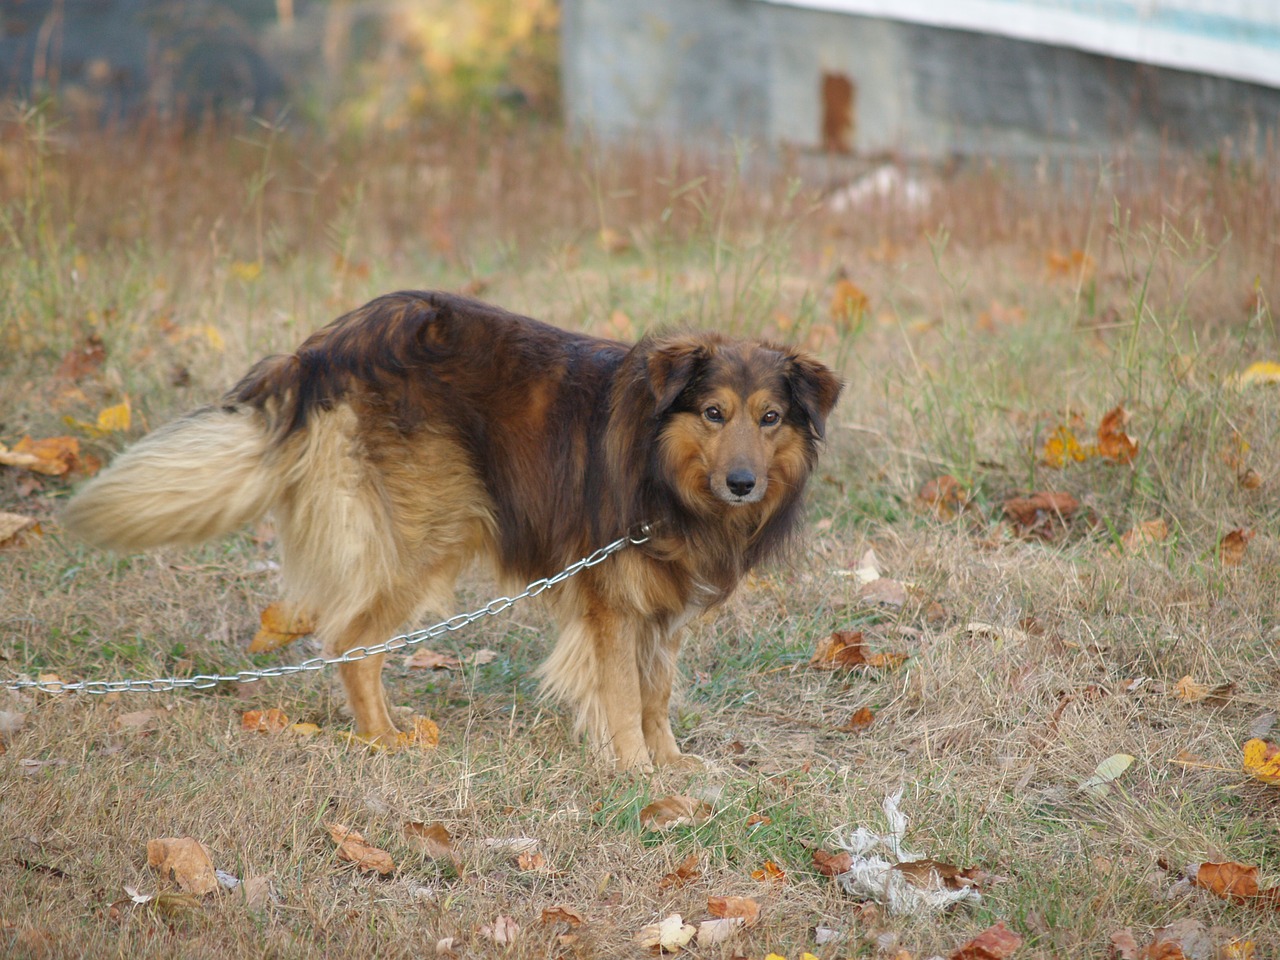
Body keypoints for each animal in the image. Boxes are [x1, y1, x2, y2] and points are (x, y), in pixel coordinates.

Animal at [62, 289, 839, 773]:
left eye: (770, 418)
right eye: (713, 413)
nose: (743, 483)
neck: (664, 469)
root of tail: (321, 350)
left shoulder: (663, 611)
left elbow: (657, 693)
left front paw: (671, 763)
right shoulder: (613, 603)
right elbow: (622, 695)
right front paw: (635, 771)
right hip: (427, 532)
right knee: (350, 641)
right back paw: (383, 739)